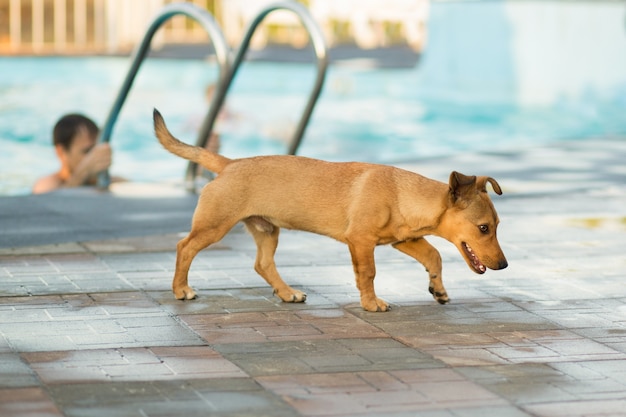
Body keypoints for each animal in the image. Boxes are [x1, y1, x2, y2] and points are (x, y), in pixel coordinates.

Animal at [152, 109, 508, 310]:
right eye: (483, 228)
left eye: (496, 226)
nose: (504, 266)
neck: (402, 193)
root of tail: (228, 164)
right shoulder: (361, 242)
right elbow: (368, 273)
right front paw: (371, 304)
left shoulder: (403, 240)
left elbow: (434, 256)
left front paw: (438, 290)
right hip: (214, 225)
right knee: (185, 247)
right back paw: (181, 289)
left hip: (267, 230)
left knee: (262, 264)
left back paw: (288, 294)